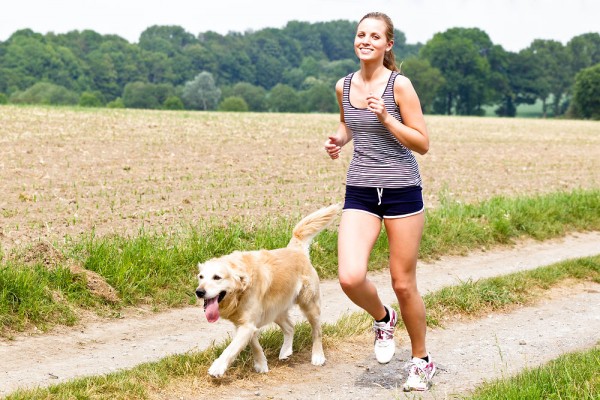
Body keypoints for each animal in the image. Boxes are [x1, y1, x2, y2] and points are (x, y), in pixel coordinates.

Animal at [195, 205, 340, 376]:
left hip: (309, 303)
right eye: (201, 277)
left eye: (217, 277)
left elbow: (232, 348)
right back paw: (285, 351)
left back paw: (318, 356)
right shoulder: (245, 323)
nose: (199, 292)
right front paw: (261, 364)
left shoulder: (247, 324)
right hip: (275, 309)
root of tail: (295, 249)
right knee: (290, 327)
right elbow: (254, 344)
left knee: (317, 330)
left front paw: (218, 367)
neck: (241, 290)